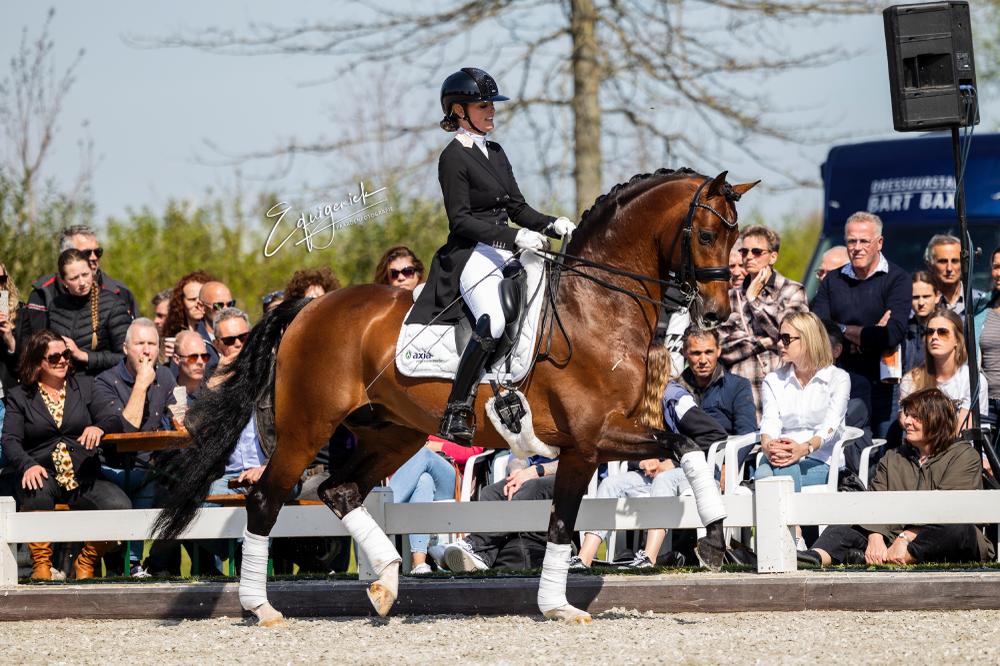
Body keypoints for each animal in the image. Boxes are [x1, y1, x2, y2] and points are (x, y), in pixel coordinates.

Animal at [153, 167, 758, 626]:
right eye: (706, 235)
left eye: (736, 241)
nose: (716, 314)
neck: (596, 305)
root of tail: (307, 308)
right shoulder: (590, 438)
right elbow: (573, 515)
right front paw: (560, 605)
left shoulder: (606, 438)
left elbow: (681, 450)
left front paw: (712, 539)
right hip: (307, 428)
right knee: (266, 500)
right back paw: (262, 608)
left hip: (392, 432)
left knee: (338, 491)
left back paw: (386, 584)